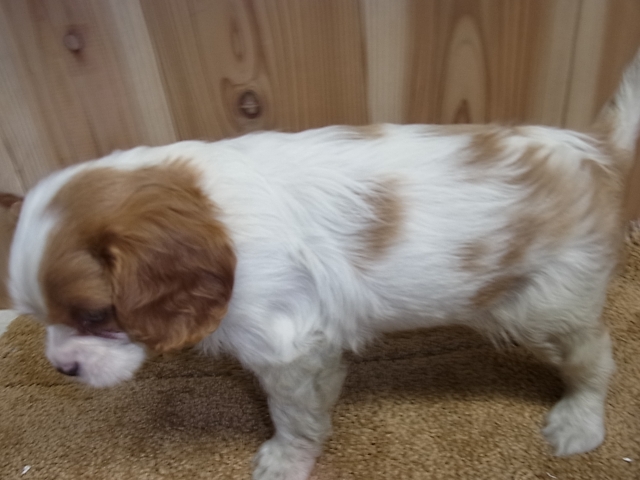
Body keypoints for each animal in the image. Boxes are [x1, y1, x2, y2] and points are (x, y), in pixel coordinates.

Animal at [9, 49, 640, 480]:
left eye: (95, 315)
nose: (63, 368)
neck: (210, 210)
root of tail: (597, 150)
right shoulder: (311, 334)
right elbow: (320, 386)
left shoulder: (281, 343)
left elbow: (291, 413)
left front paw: (287, 459)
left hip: (543, 305)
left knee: (595, 358)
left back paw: (580, 421)